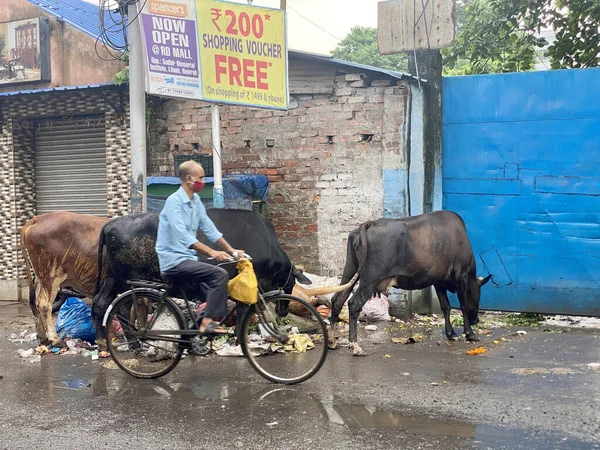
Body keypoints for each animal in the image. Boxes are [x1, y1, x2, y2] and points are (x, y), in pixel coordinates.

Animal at [19, 213, 109, 346]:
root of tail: (38, 218)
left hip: (41, 278)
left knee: (35, 304)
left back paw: (43, 337)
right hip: (50, 275)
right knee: (44, 304)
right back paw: (55, 339)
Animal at [92, 209, 314, 336]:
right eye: (291, 284)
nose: (283, 312)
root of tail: (111, 223)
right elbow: (243, 311)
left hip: (113, 279)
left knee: (102, 304)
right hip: (128, 281)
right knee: (121, 308)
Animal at [328, 211, 492, 356]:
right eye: (478, 294)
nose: (476, 320)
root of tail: (369, 224)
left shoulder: (438, 281)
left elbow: (446, 307)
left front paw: (451, 333)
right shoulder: (461, 275)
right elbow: (463, 305)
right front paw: (470, 334)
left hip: (350, 270)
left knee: (337, 299)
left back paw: (332, 341)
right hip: (369, 279)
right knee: (354, 304)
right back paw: (355, 346)